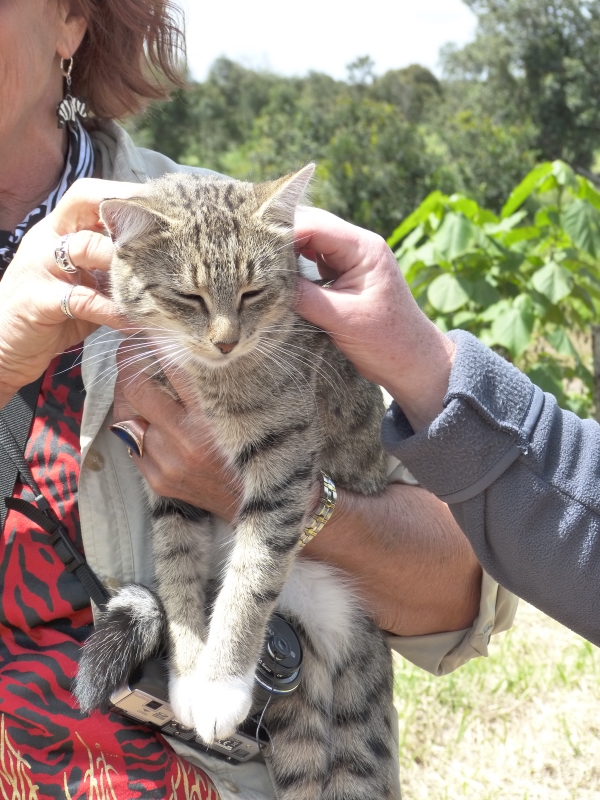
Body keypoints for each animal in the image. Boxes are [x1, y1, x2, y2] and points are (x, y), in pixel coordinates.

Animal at [75, 166, 400, 799]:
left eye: (253, 292)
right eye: (188, 297)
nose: (226, 340)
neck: (207, 378)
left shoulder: (285, 465)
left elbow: (252, 576)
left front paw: (222, 684)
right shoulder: (166, 478)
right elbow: (176, 567)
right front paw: (189, 675)